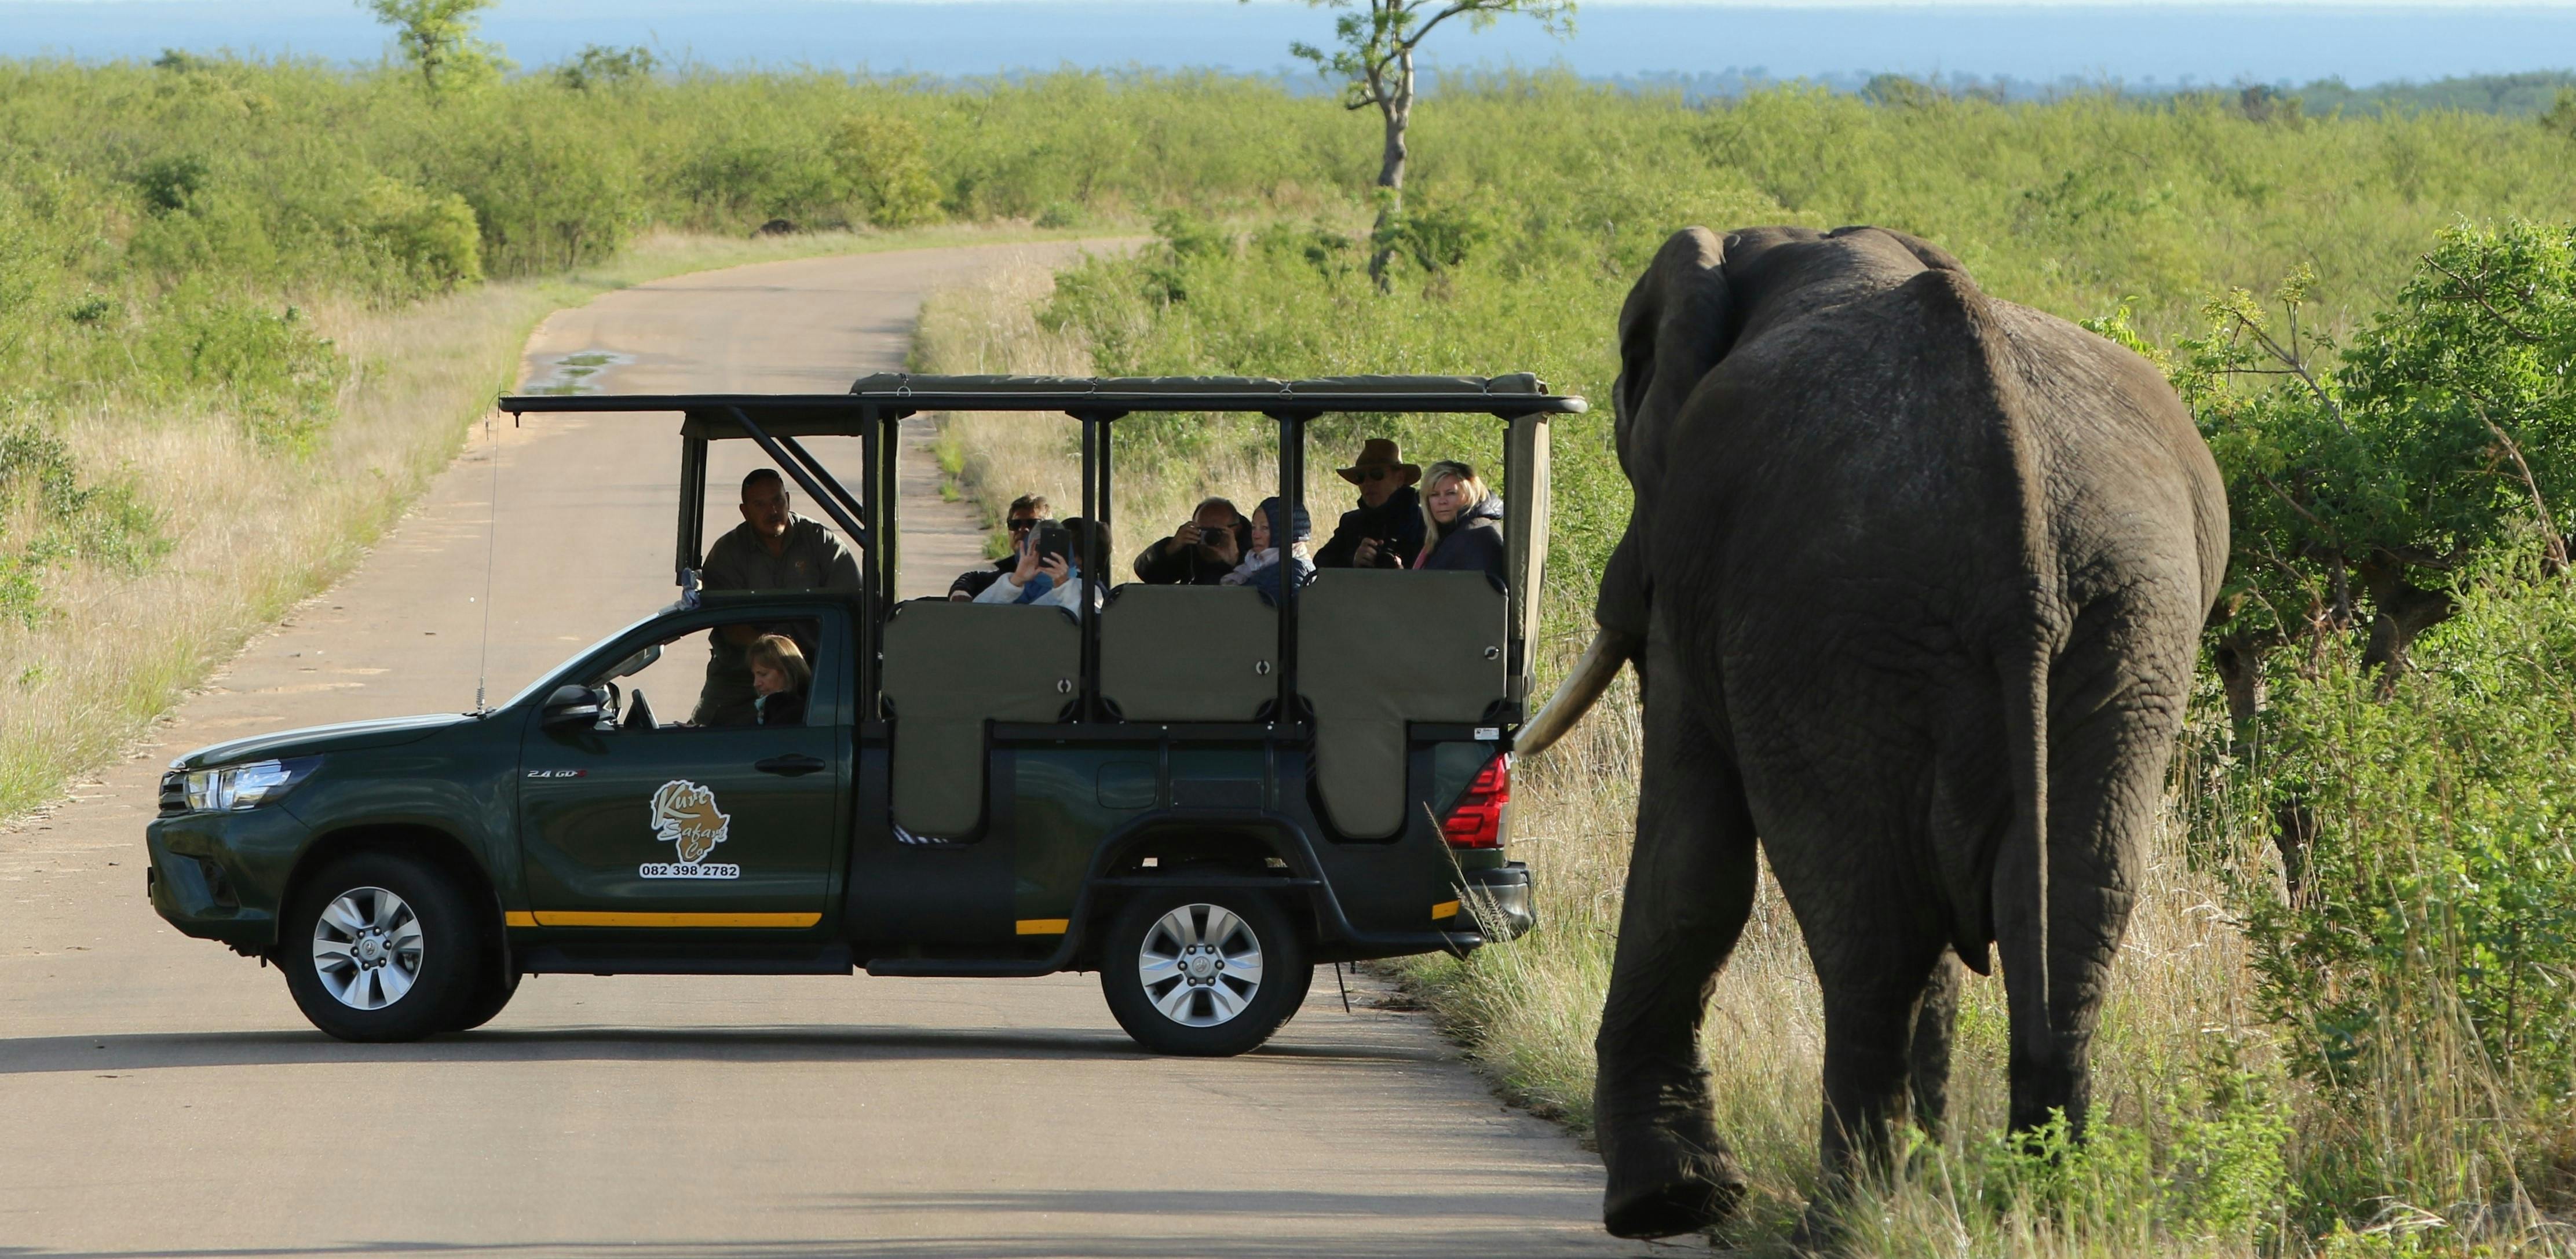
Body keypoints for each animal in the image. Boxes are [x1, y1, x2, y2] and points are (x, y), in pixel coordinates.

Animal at [1514, 221, 2226, 1231]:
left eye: (1624, 383)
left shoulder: (1695, 568)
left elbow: (1692, 861)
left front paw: (1669, 1203)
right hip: (2126, 622)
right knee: (2064, 902)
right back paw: (2037, 1206)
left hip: (1833, 625)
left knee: (1869, 921)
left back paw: (1843, 1223)